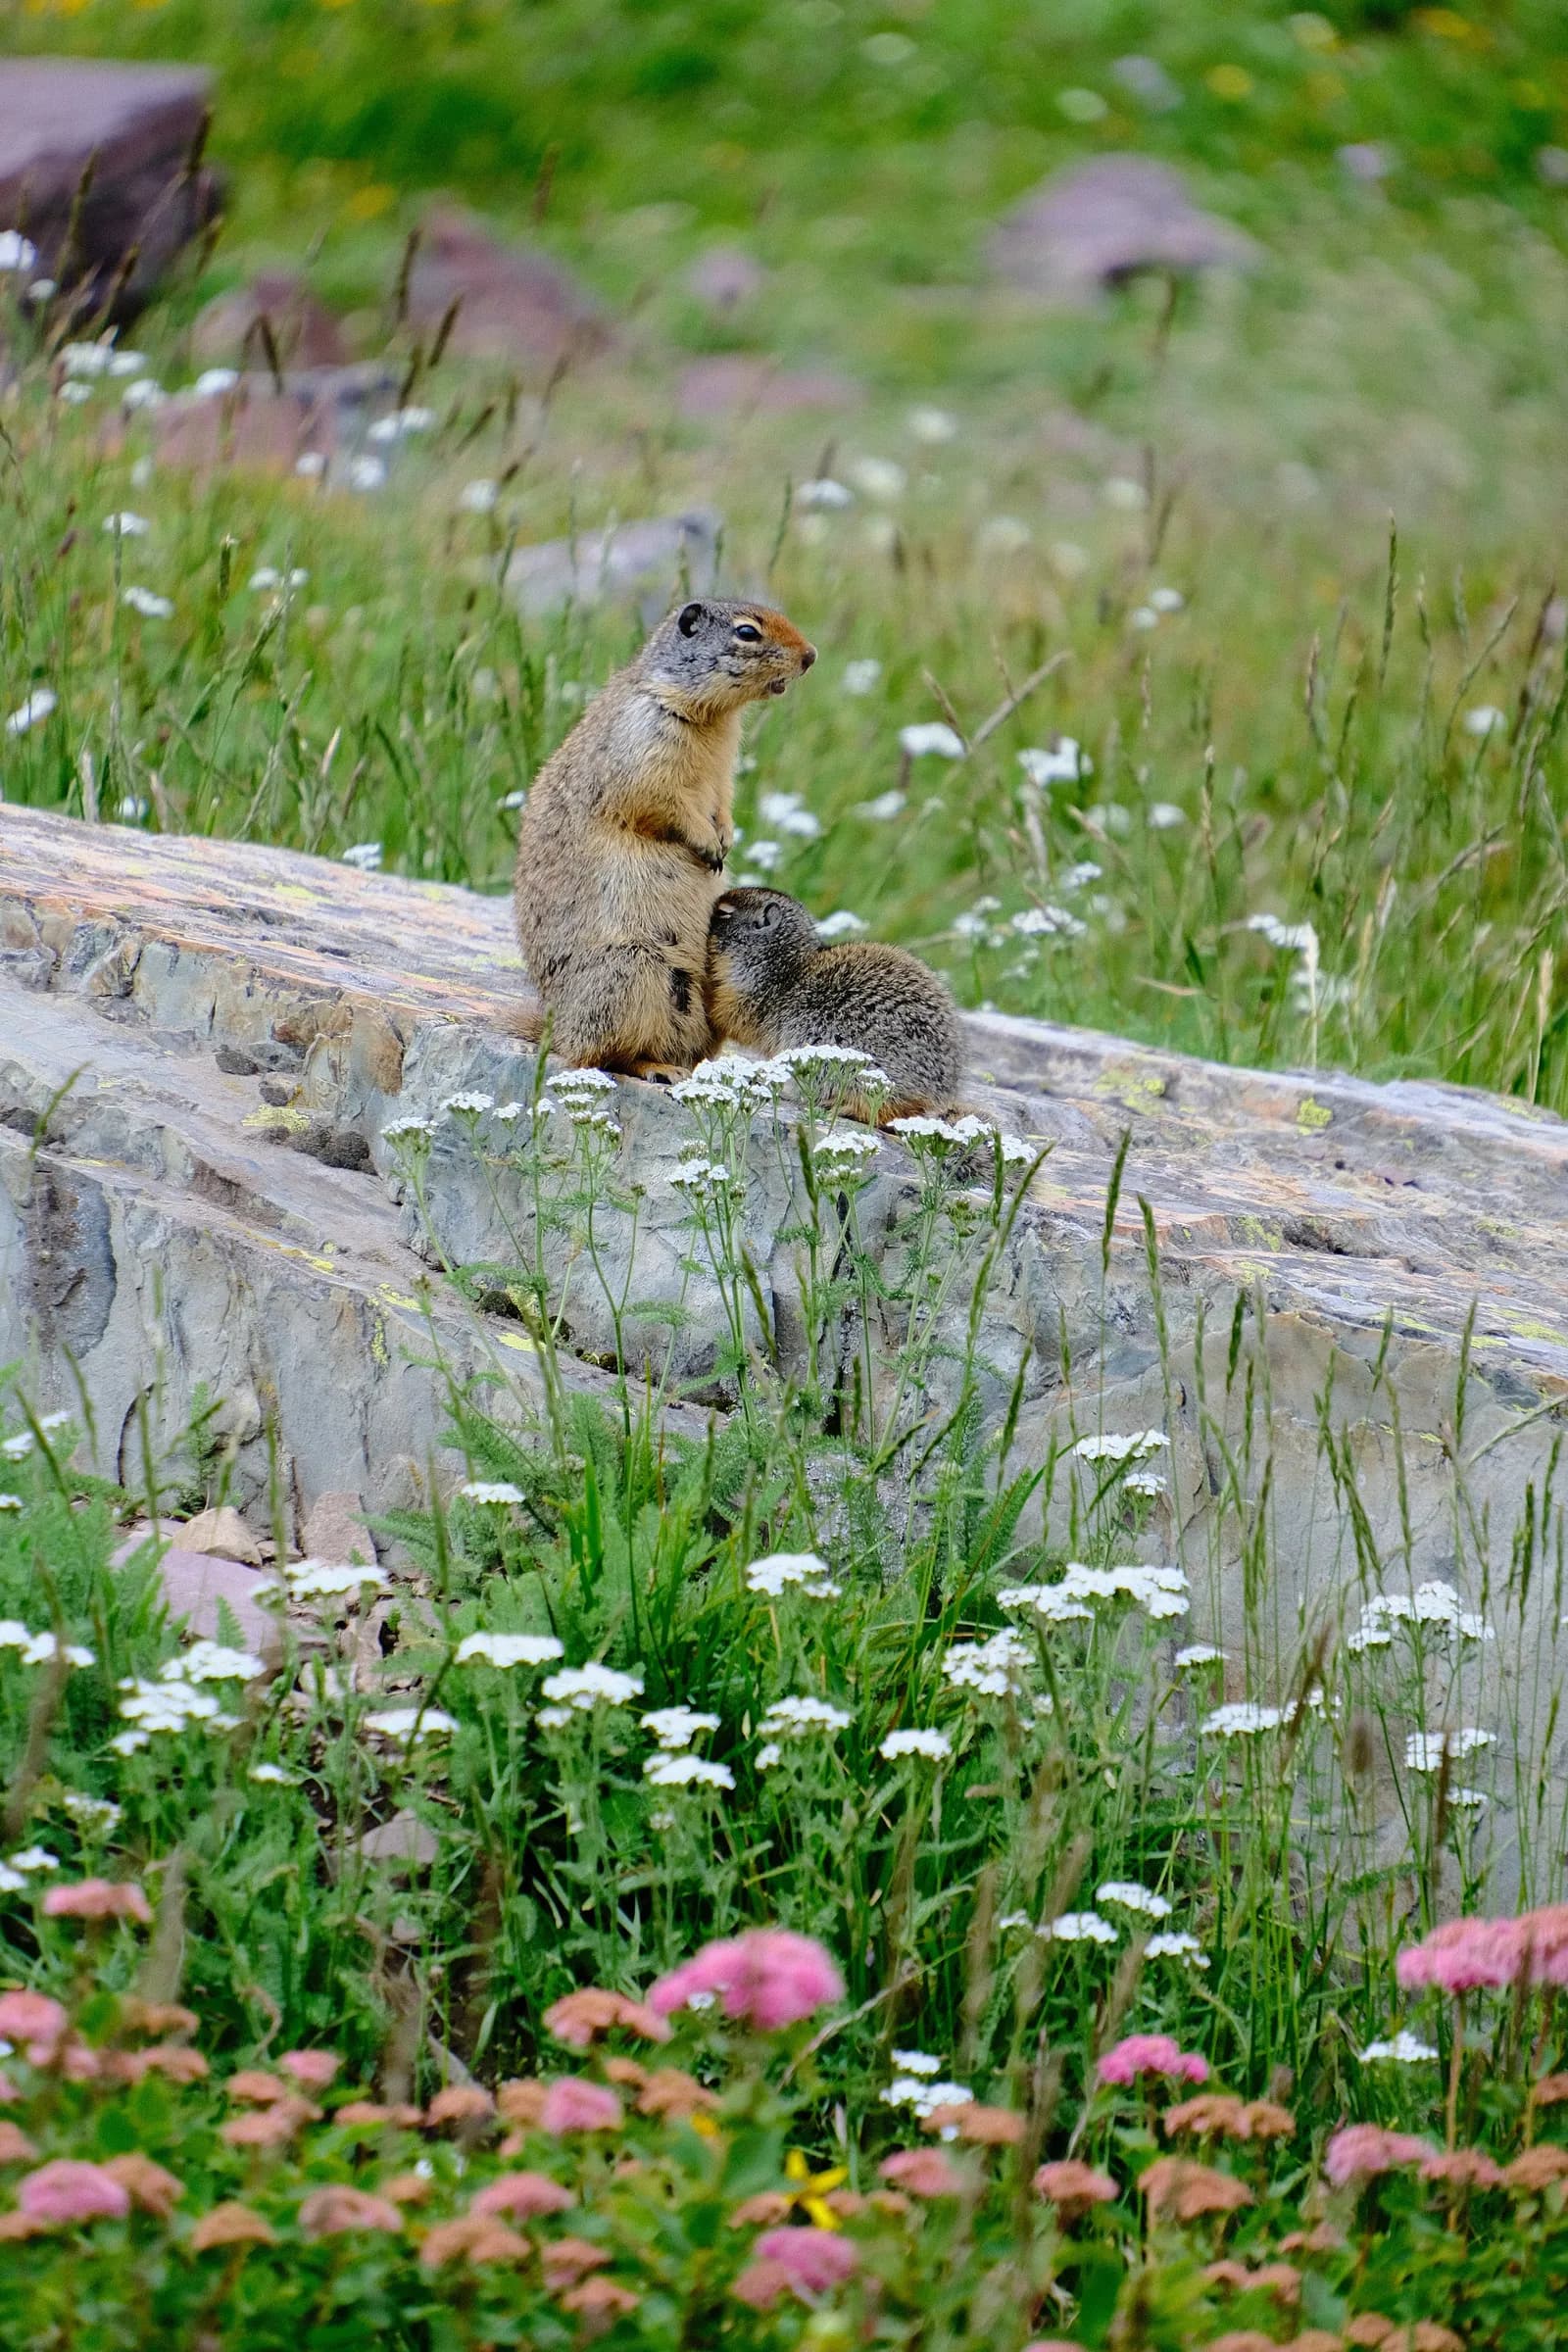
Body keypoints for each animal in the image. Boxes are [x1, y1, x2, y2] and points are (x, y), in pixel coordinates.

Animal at [512, 599, 816, 1080]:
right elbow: (661, 801)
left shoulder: (722, 772)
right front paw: (709, 846)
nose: (811, 656)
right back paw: (659, 1068)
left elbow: (722, 800)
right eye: (747, 632)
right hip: (630, 973)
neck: (714, 719)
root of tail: (555, 1032)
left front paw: (725, 839)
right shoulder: (647, 742)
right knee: (603, 1056)